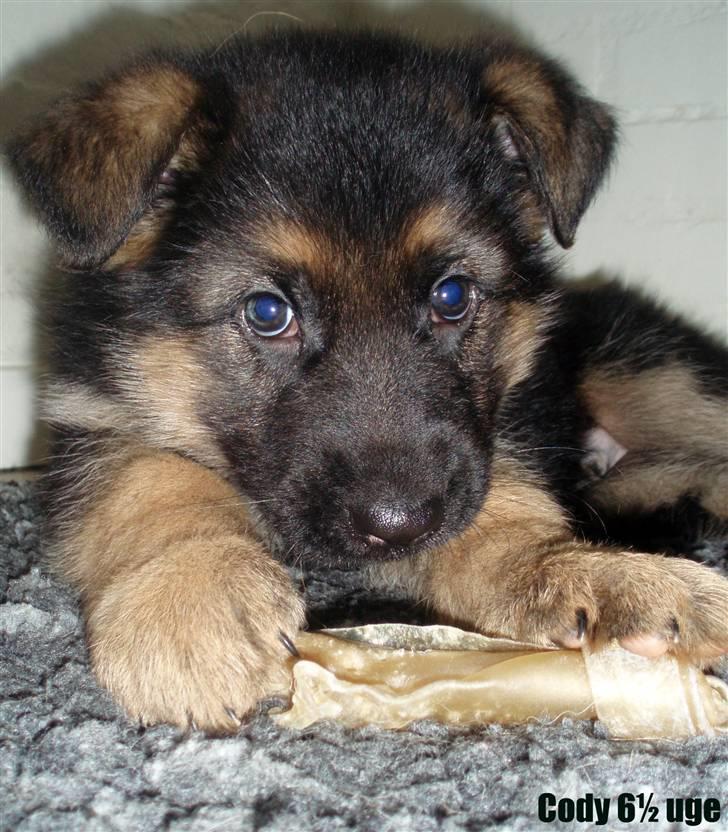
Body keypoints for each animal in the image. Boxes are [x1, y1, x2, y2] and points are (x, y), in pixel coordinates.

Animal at [7, 27, 728, 728]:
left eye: (452, 296)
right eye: (268, 312)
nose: (399, 525)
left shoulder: (507, 420)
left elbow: (503, 521)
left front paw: (591, 575)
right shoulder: (91, 409)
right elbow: (145, 474)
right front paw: (192, 597)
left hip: (649, 373)